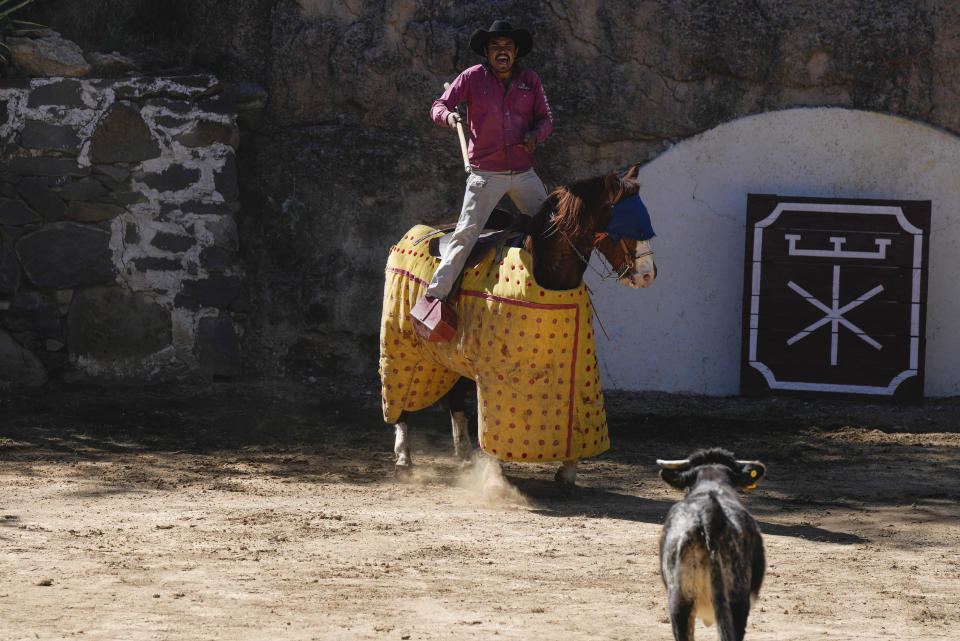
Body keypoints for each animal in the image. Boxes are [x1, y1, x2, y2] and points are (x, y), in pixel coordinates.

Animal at [378, 162, 656, 488]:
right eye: (626, 225)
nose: (647, 275)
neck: (548, 271)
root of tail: (413, 232)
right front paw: (496, 475)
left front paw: (567, 471)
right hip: (398, 344)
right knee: (399, 402)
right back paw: (404, 458)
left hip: (450, 358)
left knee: (456, 401)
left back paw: (465, 458)